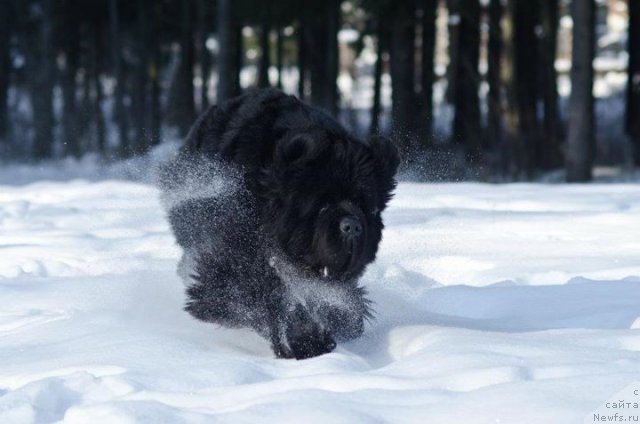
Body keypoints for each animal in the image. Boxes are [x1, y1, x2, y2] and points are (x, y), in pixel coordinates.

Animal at [159, 88, 398, 358]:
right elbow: (264, 291)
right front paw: (305, 338)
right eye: (322, 203)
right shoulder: (237, 254)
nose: (352, 226)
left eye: (364, 206)